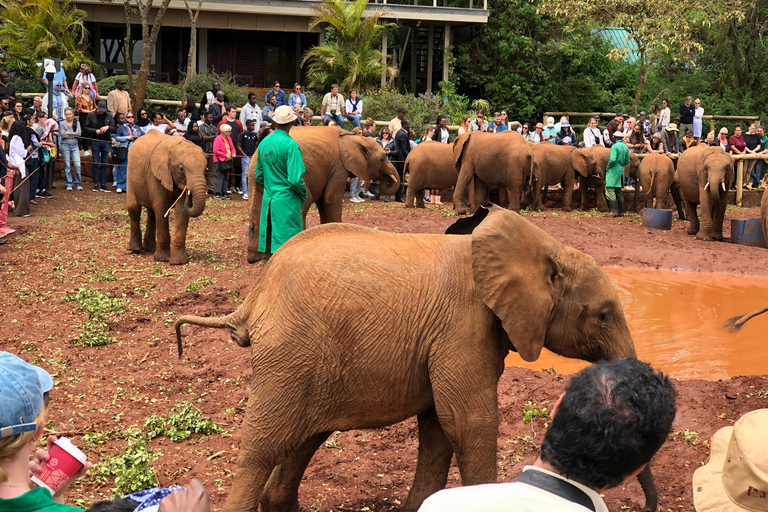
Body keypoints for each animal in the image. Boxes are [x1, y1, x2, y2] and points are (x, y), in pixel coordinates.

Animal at [174, 207, 656, 512]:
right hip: (289, 351)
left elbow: (439, 428)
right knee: (263, 447)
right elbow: (469, 422)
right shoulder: (463, 326)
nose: (649, 506)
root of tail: (254, 296)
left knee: (303, 439)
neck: (539, 246)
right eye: (604, 314)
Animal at [248, 127, 402, 264]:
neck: (353, 136)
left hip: (257, 179)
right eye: (382, 158)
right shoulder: (339, 166)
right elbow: (330, 199)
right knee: (303, 203)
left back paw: (256, 256)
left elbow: (323, 201)